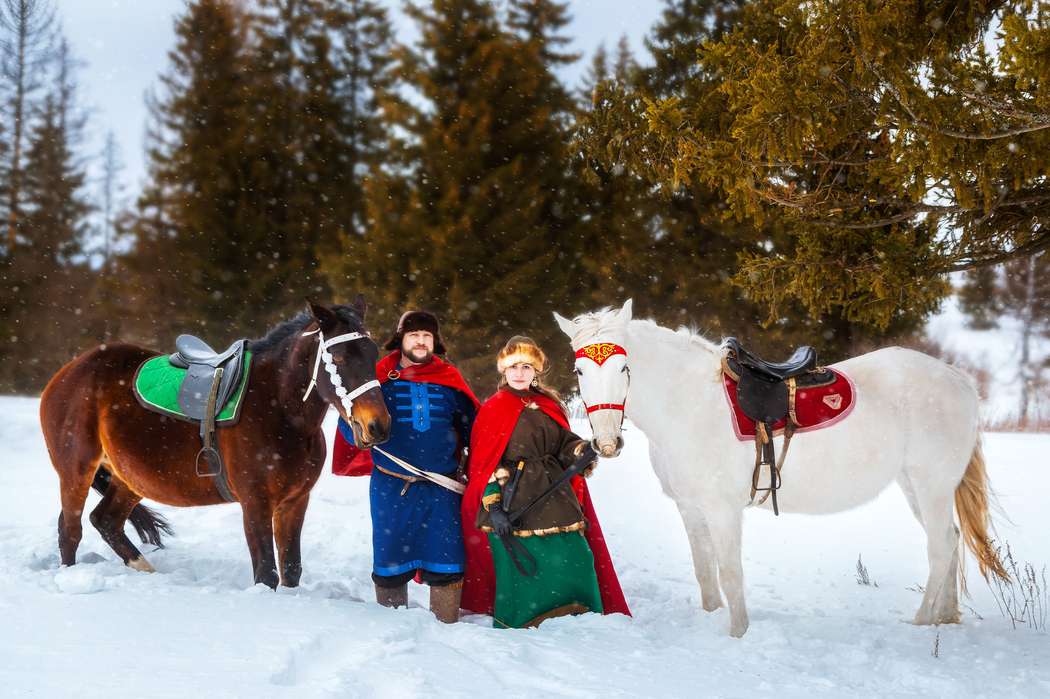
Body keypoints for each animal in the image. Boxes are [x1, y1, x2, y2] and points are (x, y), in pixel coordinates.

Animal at [37, 295, 392, 583]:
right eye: (340, 358)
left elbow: (291, 569)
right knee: (70, 530)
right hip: (76, 470)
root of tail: (69, 370)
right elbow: (266, 573)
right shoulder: (255, 503)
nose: (377, 426)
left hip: (131, 477)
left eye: (373, 353)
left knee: (106, 521)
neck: (279, 410)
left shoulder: (295, 501)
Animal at [558, 295, 1007, 633]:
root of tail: (958, 379)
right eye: (579, 369)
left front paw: (737, 634)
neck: (689, 402)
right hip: (917, 487)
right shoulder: (690, 509)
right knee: (950, 542)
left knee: (941, 546)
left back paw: (922, 621)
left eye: (624, 366)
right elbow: (706, 576)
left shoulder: (722, 510)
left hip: (931, 486)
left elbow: (730, 574)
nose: (606, 442)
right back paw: (945, 619)